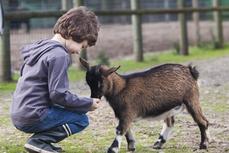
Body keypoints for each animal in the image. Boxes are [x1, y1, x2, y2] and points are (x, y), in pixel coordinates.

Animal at [80, 57, 209, 153]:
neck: (121, 88)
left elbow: (120, 129)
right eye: (88, 82)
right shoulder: (122, 114)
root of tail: (191, 71)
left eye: (100, 83)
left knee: (202, 121)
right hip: (170, 106)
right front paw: (131, 146)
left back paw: (203, 144)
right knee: (170, 122)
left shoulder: (127, 112)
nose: (94, 98)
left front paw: (112, 149)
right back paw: (158, 143)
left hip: (191, 99)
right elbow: (127, 129)